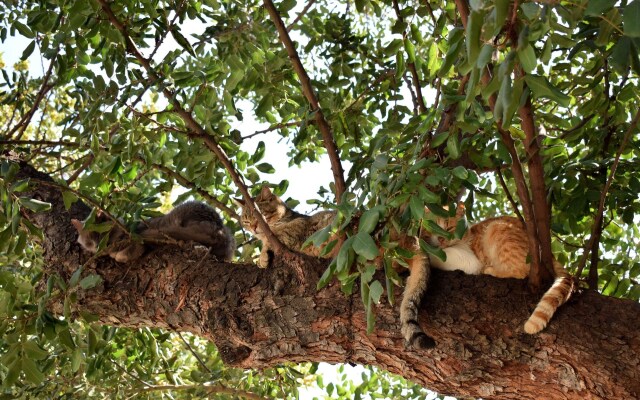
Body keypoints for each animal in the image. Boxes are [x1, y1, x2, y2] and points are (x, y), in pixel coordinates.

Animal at [71, 200, 235, 262]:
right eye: (89, 243)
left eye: (100, 234)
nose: (98, 247)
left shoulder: (137, 243)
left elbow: (126, 254)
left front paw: (118, 256)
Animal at [232, 186, 438, 348]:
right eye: (246, 220)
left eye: (261, 214)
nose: (254, 227)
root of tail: (413, 240)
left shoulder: (295, 231)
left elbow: (274, 236)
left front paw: (262, 257)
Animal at [430, 203, 576, 334]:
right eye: (431, 228)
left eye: (449, 228)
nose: (440, 239)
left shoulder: (470, 259)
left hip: (498, 228)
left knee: (520, 272)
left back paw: (490, 270)